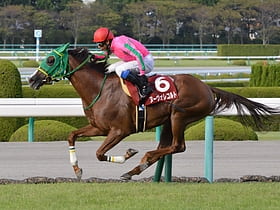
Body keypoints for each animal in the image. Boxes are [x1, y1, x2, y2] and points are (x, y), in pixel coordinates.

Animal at [28, 44, 278, 180]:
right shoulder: (99, 127)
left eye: (50, 59)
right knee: (169, 146)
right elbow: (71, 136)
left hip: (179, 114)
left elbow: (99, 153)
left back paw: (142, 161)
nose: (32, 79)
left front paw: (129, 153)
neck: (100, 88)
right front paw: (77, 170)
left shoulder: (120, 130)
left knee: (177, 146)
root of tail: (208, 87)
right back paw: (139, 167)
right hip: (169, 120)